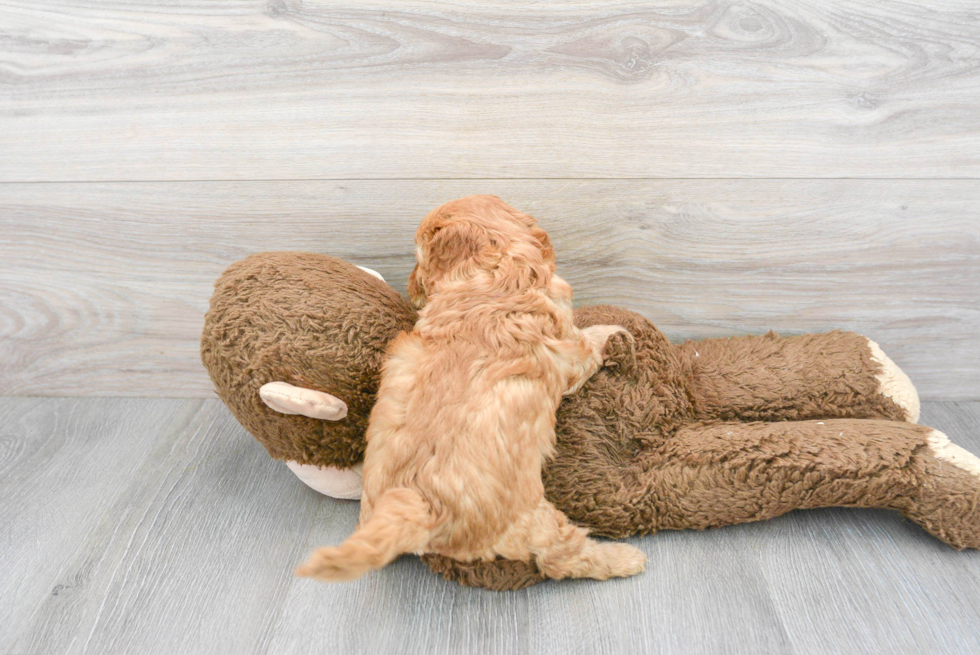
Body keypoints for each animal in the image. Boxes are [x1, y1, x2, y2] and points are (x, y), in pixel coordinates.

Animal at [294, 196, 648, 584]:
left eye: (419, 259)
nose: (410, 287)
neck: (495, 268)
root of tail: (419, 505)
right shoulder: (570, 350)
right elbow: (589, 344)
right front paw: (612, 332)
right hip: (531, 518)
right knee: (560, 558)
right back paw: (624, 558)